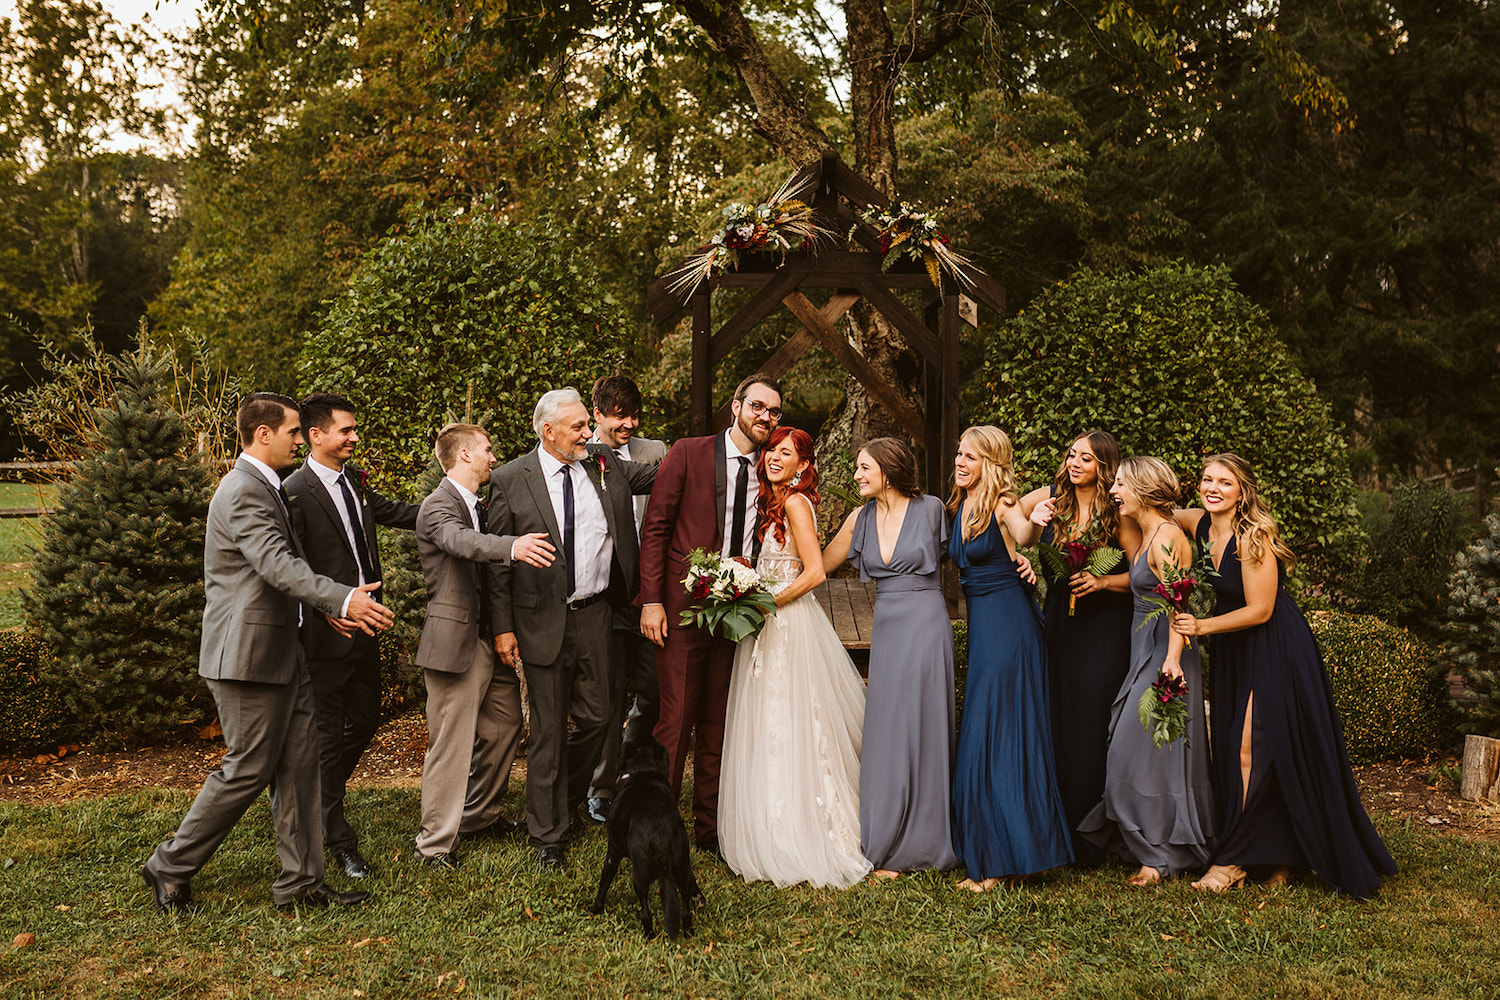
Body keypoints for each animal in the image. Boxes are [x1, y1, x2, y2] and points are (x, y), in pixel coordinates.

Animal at [588, 734, 699, 941]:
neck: (643, 770)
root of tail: (660, 835)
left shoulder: (612, 852)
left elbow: (604, 883)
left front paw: (595, 908)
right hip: (682, 867)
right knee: (686, 908)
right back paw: (688, 931)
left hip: (640, 874)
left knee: (646, 911)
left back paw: (648, 934)